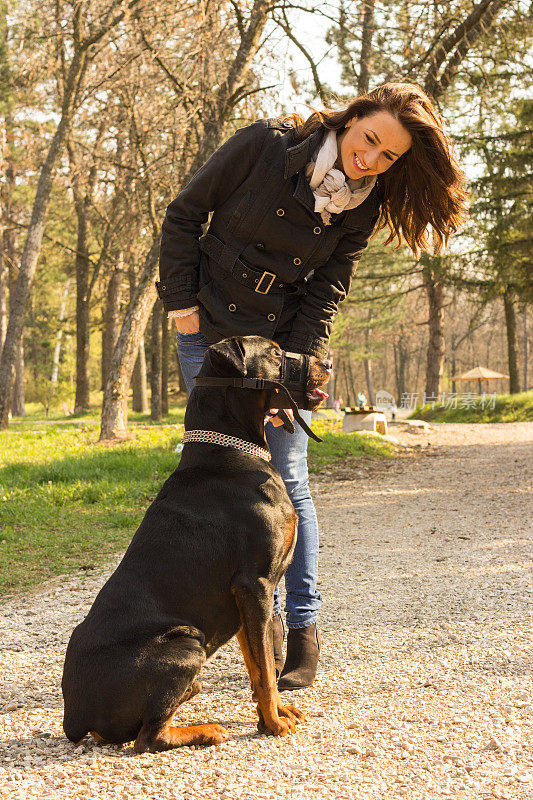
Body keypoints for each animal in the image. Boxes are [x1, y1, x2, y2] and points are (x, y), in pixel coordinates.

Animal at [61, 334, 328, 752]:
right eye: (273, 351)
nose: (327, 363)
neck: (229, 452)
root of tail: (75, 715)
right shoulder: (254, 584)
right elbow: (266, 672)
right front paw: (273, 724)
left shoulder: (242, 599)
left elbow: (258, 665)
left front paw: (274, 714)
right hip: (187, 643)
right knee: (146, 738)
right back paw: (205, 729)